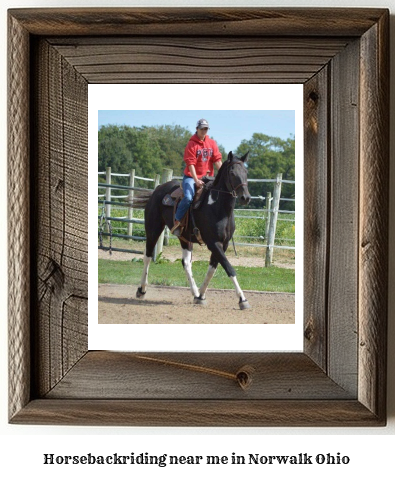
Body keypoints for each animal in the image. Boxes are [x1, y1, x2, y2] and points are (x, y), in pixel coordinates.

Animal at [131, 151, 252, 312]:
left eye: (246, 172)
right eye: (232, 172)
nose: (246, 197)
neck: (218, 207)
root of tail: (157, 190)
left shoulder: (223, 244)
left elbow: (212, 269)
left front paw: (200, 296)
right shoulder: (213, 243)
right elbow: (229, 268)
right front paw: (242, 299)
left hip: (184, 238)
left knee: (186, 263)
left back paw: (194, 292)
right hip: (153, 229)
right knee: (148, 256)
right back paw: (141, 290)